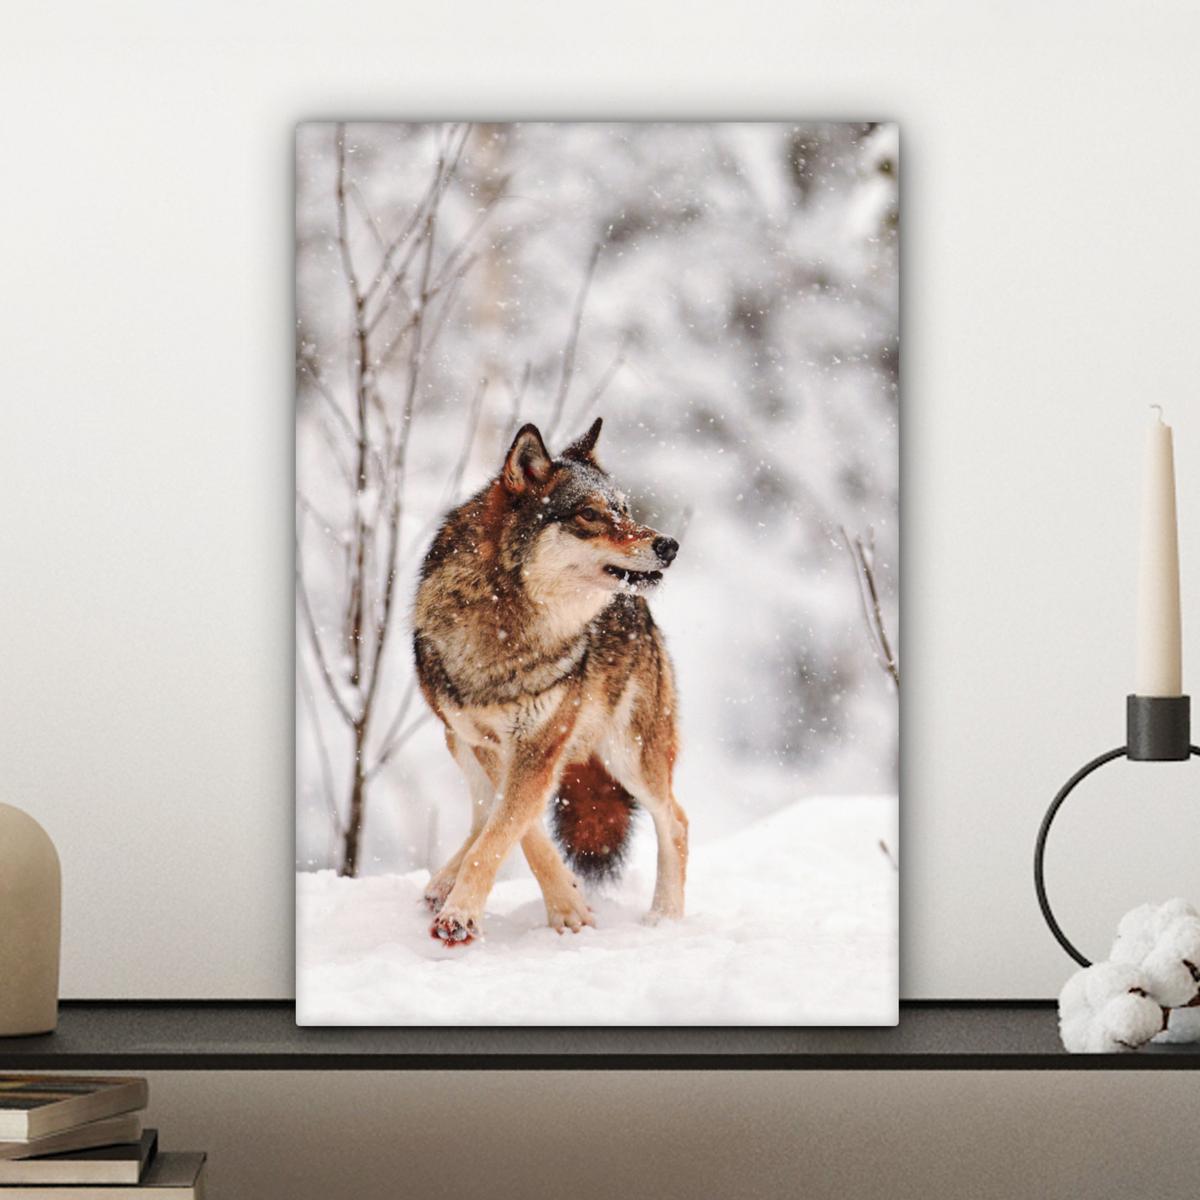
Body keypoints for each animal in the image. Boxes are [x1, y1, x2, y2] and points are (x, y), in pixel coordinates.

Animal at [412, 417, 687, 946]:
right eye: (590, 514)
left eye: (624, 510)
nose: (668, 545)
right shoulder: (490, 742)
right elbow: (516, 831)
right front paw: (566, 904)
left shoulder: (539, 745)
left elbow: (504, 832)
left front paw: (465, 915)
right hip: (456, 740)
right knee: (481, 812)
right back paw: (441, 883)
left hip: (629, 755)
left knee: (677, 822)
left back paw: (665, 918)